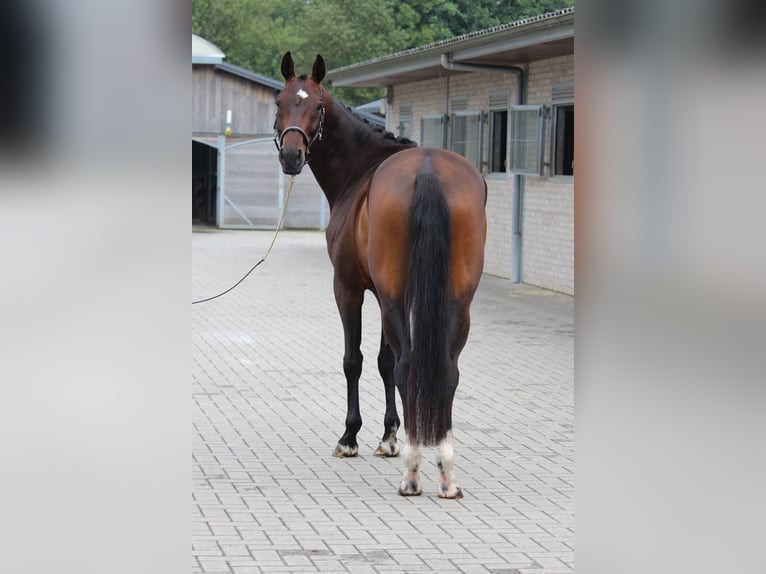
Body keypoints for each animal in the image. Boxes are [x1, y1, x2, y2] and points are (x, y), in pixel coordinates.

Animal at [274, 51, 486, 498]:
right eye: (279, 102)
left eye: (317, 107)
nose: (291, 157)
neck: (361, 171)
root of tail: (428, 170)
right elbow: (384, 360)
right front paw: (389, 436)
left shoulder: (351, 289)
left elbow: (356, 360)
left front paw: (352, 438)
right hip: (457, 301)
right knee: (447, 370)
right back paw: (446, 468)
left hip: (389, 298)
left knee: (406, 366)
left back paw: (414, 470)